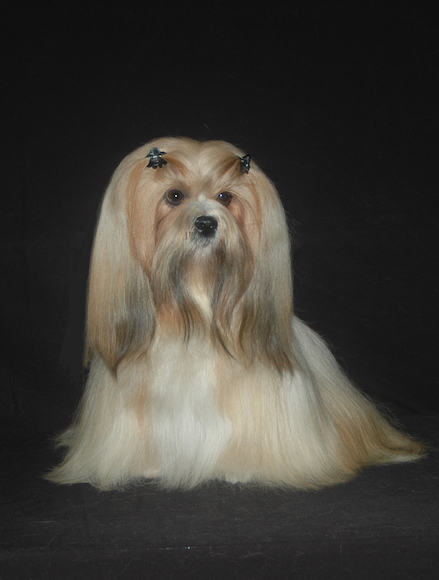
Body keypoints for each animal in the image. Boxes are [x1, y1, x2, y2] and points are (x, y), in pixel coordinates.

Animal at [48, 137, 426, 490]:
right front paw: (149, 466)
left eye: (225, 197)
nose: (206, 222)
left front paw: (239, 469)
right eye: (174, 196)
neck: (198, 308)